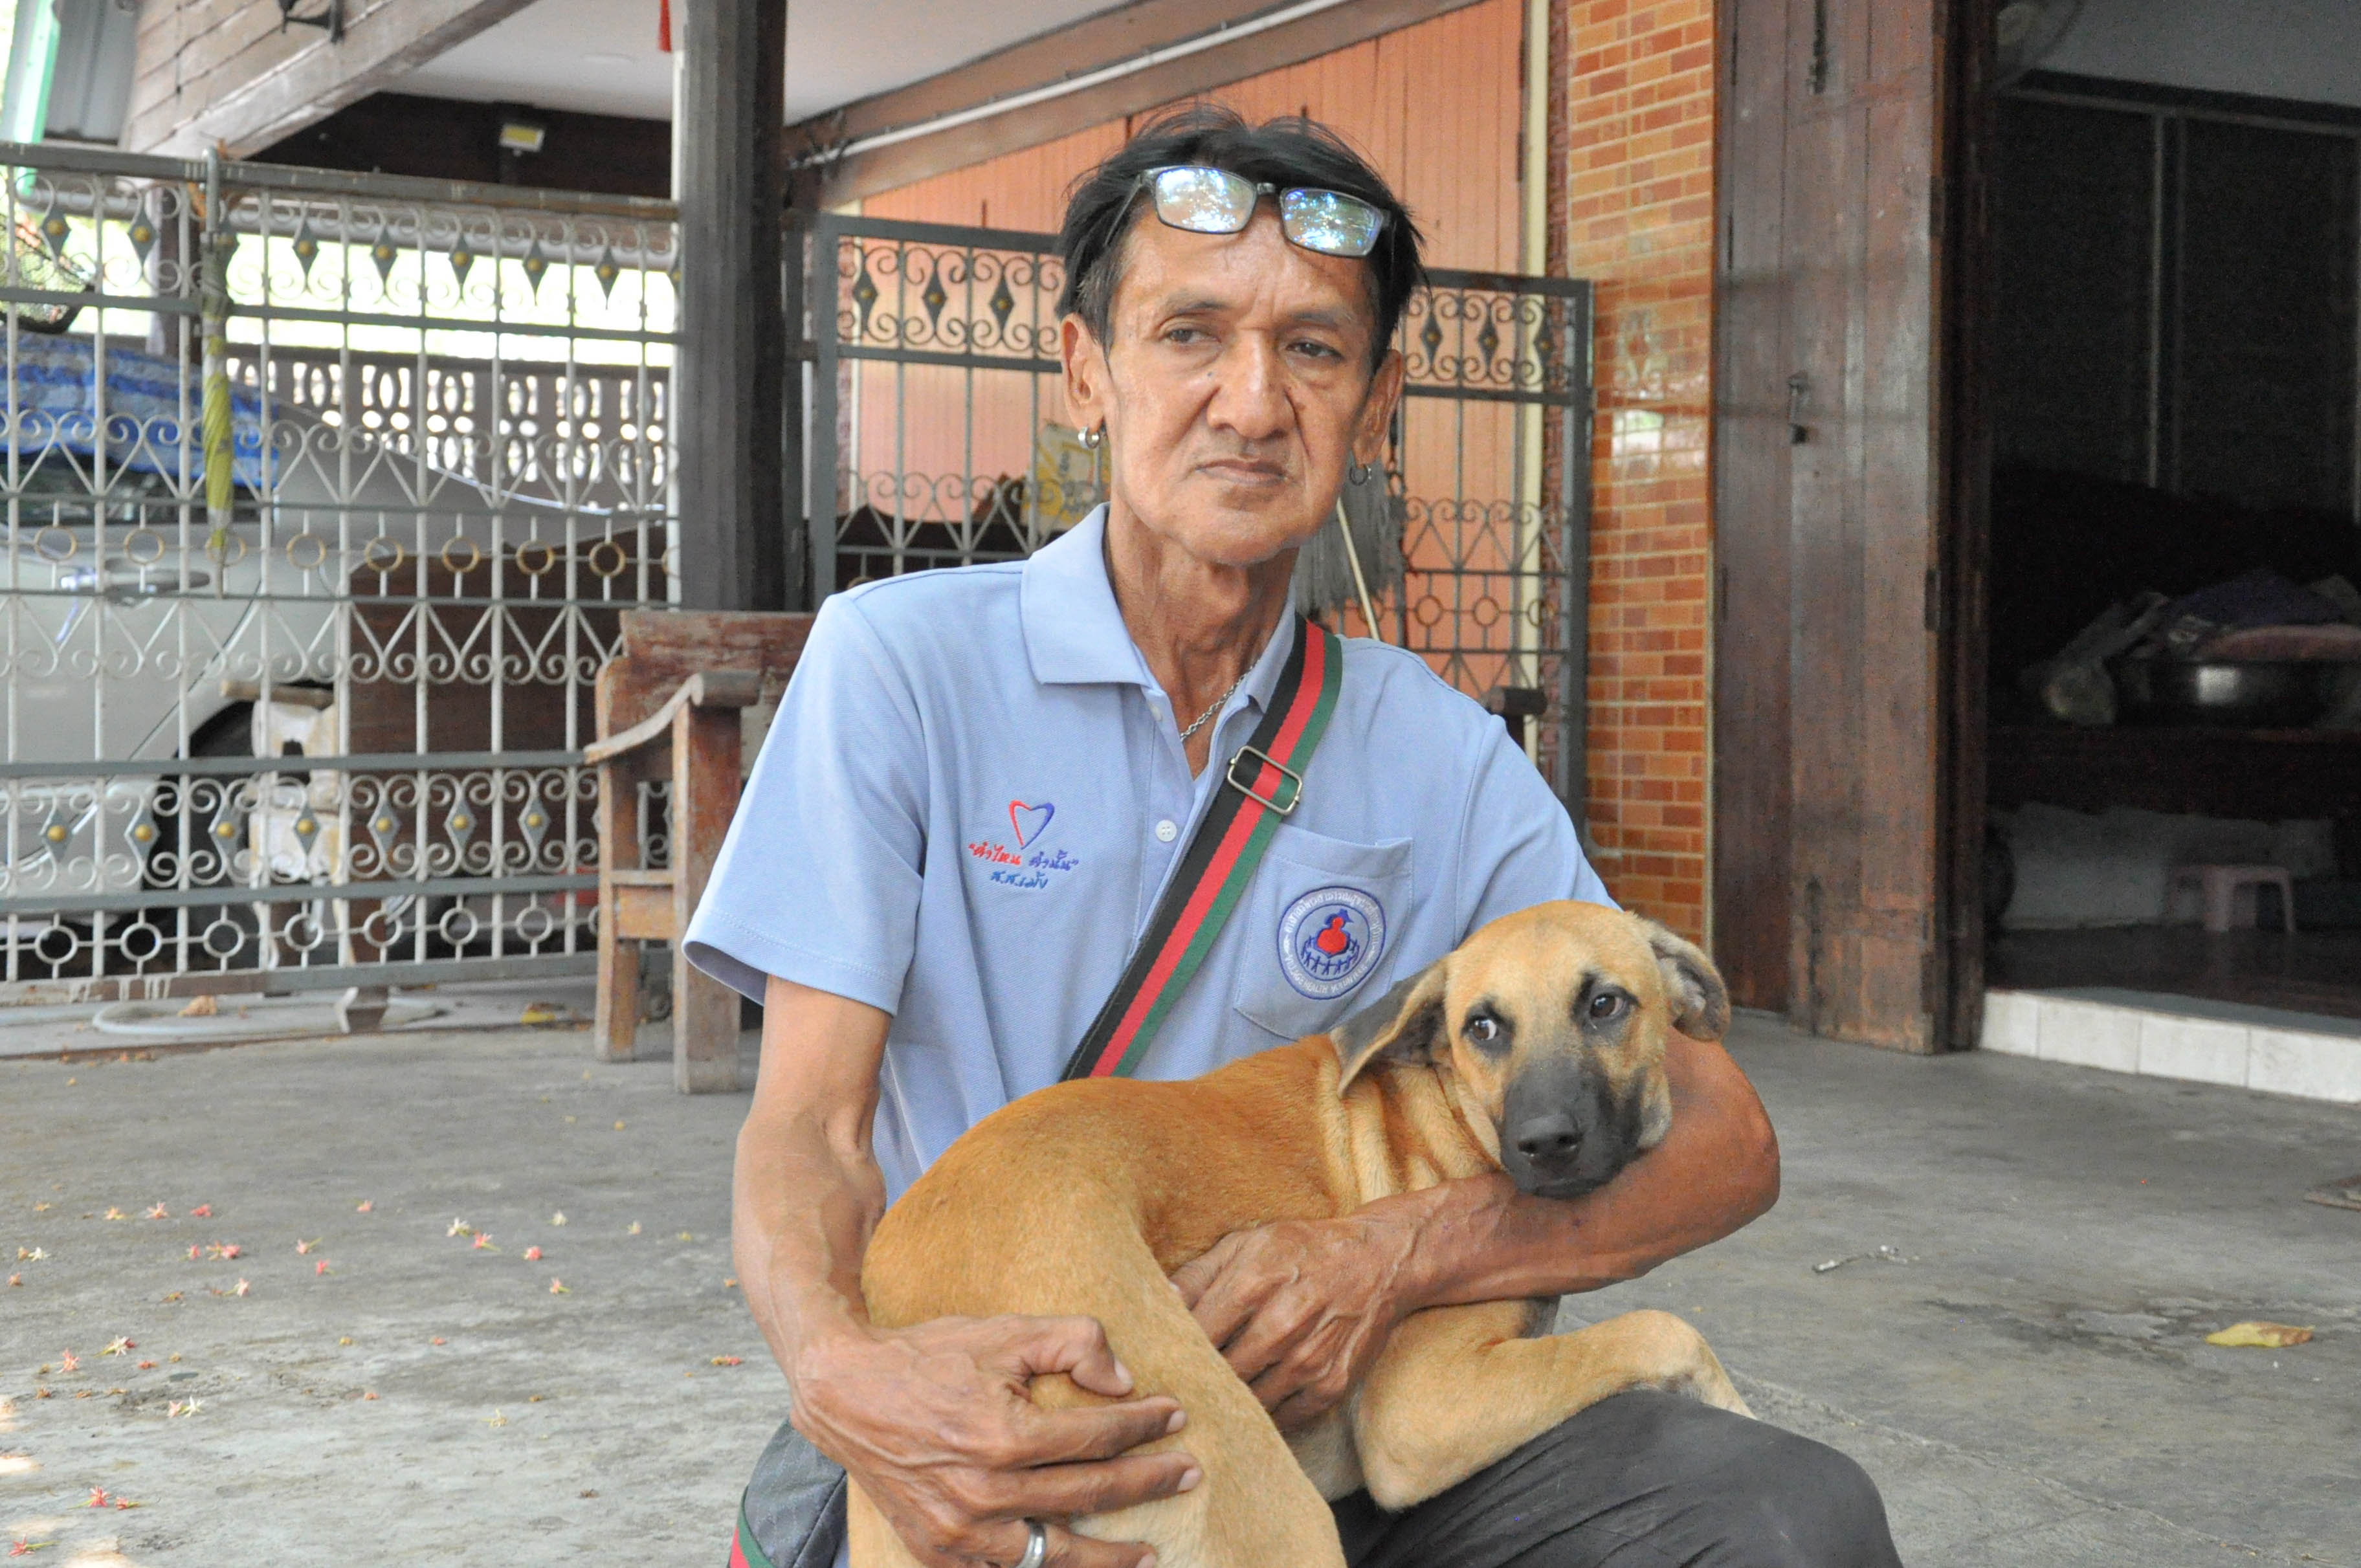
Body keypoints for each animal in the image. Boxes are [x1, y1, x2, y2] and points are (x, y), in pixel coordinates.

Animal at [849, 900, 1752, 1568]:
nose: (1544, 1142)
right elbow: (1666, 1327)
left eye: (1605, 1004)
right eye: (1483, 1027)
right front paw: (1730, 1401)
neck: (1442, 1115)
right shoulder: (1418, 1411)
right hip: (1269, 1508)